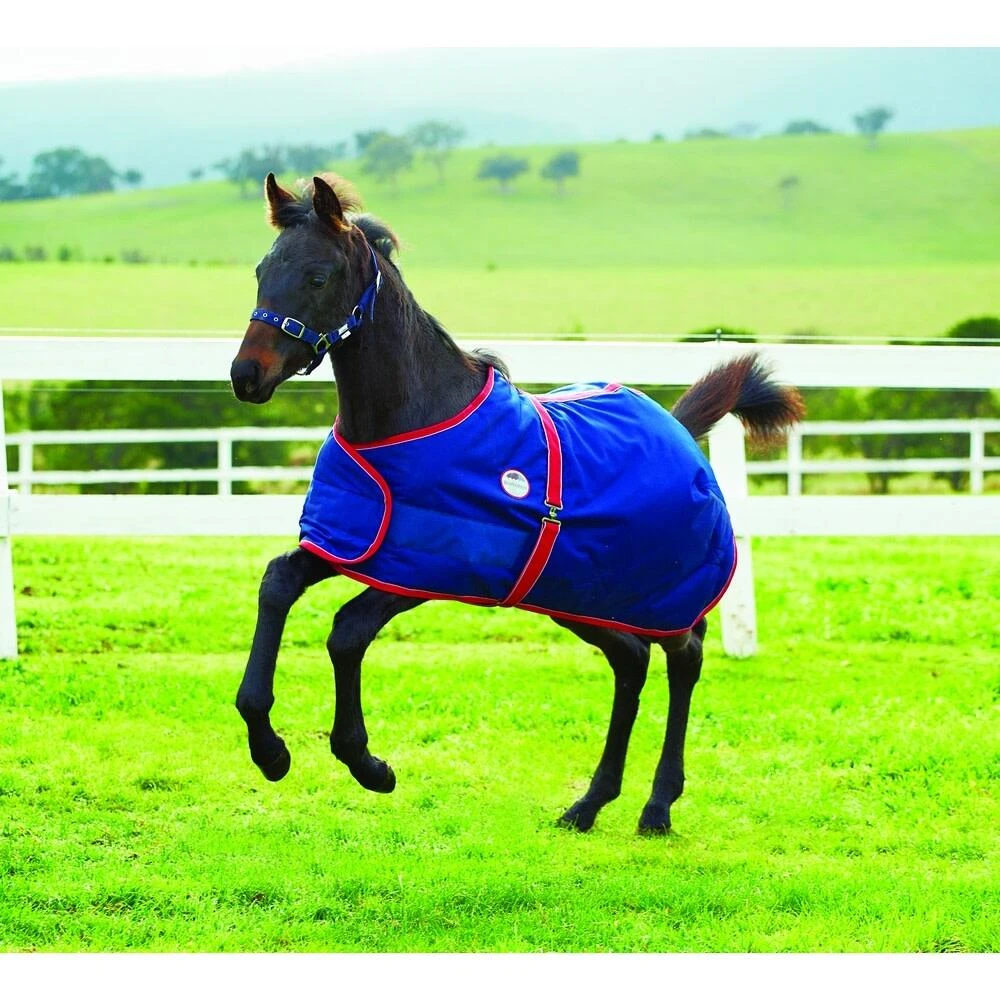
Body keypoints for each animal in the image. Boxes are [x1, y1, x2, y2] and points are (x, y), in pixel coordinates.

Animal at [230, 172, 804, 834]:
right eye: (260, 270)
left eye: (317, 277)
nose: (246, 375)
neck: (410, 420)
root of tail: (680, 426)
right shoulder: (350, 542)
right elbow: (278, 583)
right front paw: (269, 751)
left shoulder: (426, 570)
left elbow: (347, 633)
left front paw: (369, 766)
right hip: (584, 598)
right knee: (630, 662)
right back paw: (589, 803)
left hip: (661, 596)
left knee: (684, 658)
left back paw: (657, 807)